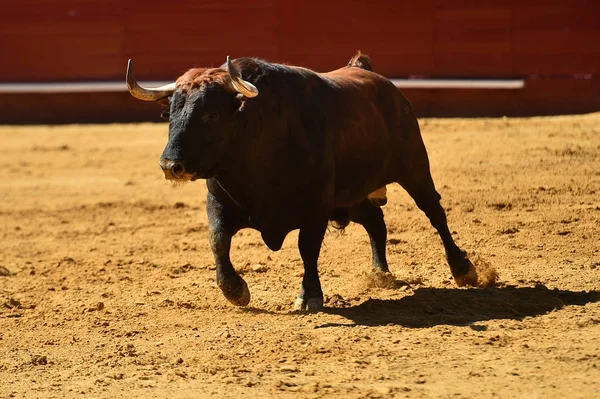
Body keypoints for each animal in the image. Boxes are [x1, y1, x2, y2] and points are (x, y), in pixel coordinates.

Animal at [126, 51, 478, 310]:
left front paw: (309, 296)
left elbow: (307, 247)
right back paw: (380, 274)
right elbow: (217, 240)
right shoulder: (219, 202)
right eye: (169, 115)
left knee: (434, 212)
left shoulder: (316, 206)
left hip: (414, 168)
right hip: (351, 196)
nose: (170, 165)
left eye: (211, 115)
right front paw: (235, 291)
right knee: (376, 221)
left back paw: (463, 269)